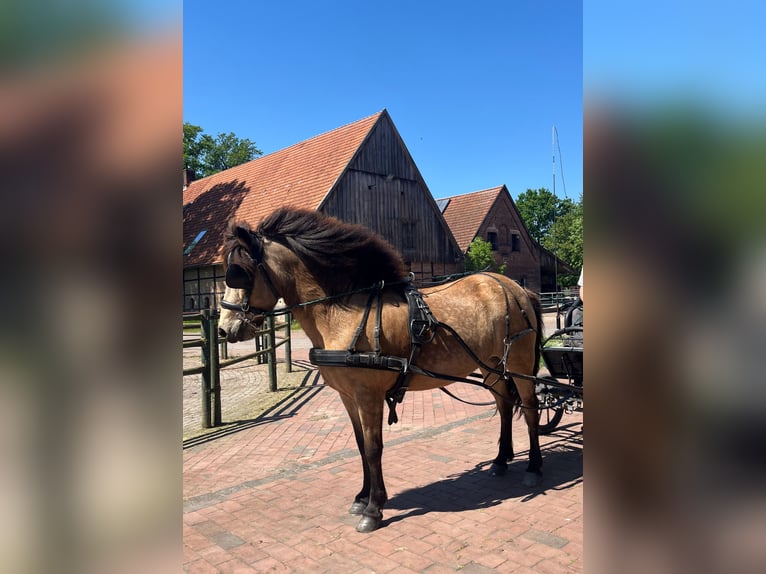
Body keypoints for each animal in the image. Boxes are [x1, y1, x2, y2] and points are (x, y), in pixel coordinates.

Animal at [218, 208, 544, 536]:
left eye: (239, 272)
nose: (223, 329)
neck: (341, 313)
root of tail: (518, 288)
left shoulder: (369, 395)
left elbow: (374, 448)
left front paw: (374, 509)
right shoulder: (348, 397)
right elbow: (361, 445)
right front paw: (362, 497)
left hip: (518, 365)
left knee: (530, 410)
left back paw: (534, 466)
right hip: (491, 365)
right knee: (504, 407)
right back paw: (501, 461)